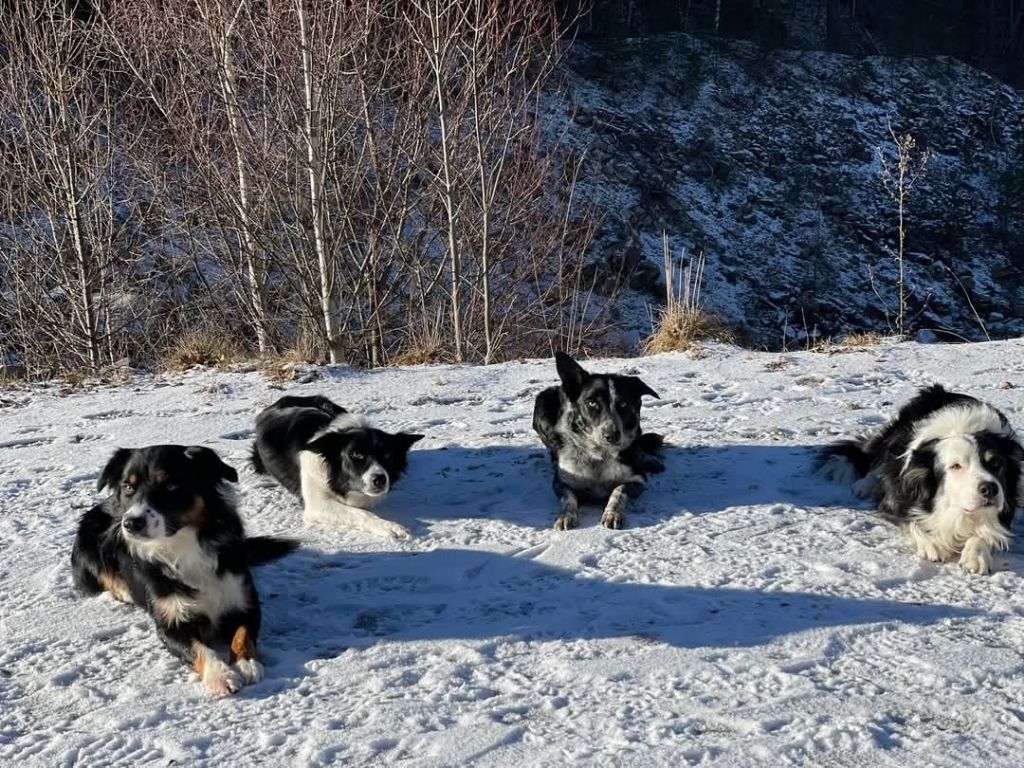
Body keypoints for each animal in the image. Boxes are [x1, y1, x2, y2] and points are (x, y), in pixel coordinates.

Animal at [70, 444, 296, 696]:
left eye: (170, 486)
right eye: (128, 487)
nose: (131, 524)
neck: (183, 545)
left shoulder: (244, 602)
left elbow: (242, 635)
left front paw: (246, 663)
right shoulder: (170, 623)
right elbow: (200, 649)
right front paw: (220, 675)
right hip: (88, 544)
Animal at [251, 397, 423, 540]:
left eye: (387, 455)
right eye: (356, 454)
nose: (380, 480)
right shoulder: (316, 505)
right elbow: (359, 513)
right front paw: (390, 527)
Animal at [532, 354, 667, 528]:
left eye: (623, 404)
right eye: (592, 403)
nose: (612, 435)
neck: (599, 455)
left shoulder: (638, 480)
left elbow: (618, 491)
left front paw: (612, 513)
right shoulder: (561, 483)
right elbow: (568, 498)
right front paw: (565, 515)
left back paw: (650, 459)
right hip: (542, 405)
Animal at [815, 385, 1024, 577]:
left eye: (996, 463)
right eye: (956, 466)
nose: (990, 489)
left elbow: (988, 531)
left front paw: (976, 555)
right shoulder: (895, 498)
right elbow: (910, 519)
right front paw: (932, 543)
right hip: (891, 439)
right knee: (877, 463)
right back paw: (865, 484)